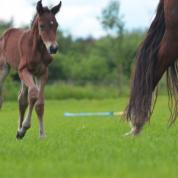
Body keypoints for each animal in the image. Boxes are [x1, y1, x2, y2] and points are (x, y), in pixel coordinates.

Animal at [0, 0, 62, 139]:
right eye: (42, 26)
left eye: (56, 25)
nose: (53, 48)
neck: (37, 48)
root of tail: (5, 34)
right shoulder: (23, 70)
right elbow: (33, 94)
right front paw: (24, 127)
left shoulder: (42, 72)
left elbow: (39, 103)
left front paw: (41, 135)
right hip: (4, 69)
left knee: (21, 99)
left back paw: (18, 132)